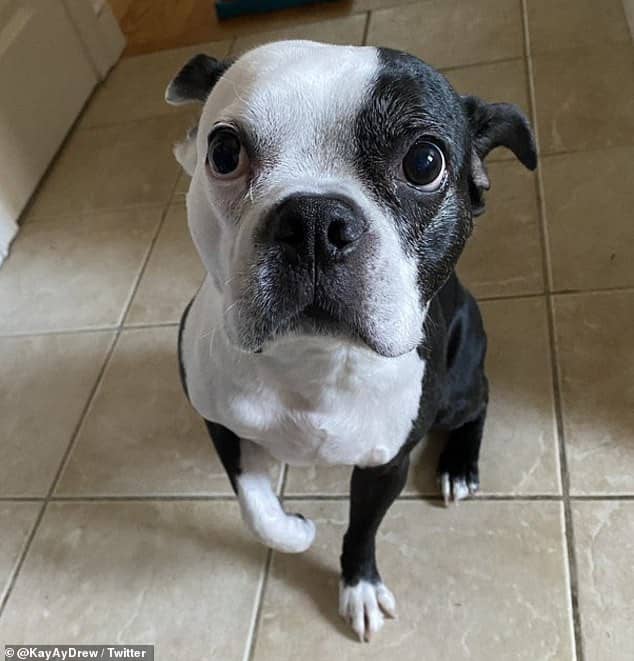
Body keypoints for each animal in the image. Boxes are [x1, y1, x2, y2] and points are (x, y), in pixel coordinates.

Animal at [166, 41, 536, 641]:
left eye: (424, 162)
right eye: (223, 152)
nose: (314, 220)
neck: (310, 361)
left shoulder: (386, 465)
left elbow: (361, 529)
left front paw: (357, 585)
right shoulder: (220, 422)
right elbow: (257, 508)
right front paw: (295, 529)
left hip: (457, 386)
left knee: (481, 397)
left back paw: (459, 465)